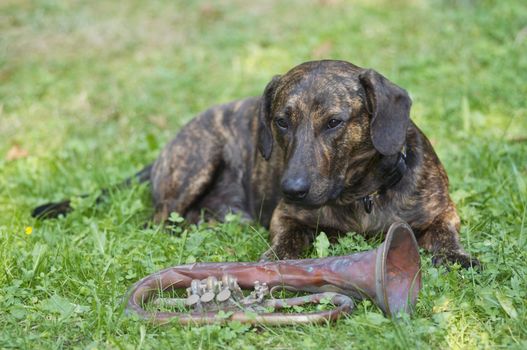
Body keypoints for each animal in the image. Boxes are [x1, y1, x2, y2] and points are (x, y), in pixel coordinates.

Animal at [32, 60, 478, 268]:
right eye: (281, 120)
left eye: (334, 122)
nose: (291, 188)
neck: (361, 194)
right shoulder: (287, 217)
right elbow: (288, 239)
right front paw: (276, 260)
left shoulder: (443, 212)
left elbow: (444, 236)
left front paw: (455, 257)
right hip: (198, 159)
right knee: (157, 221)